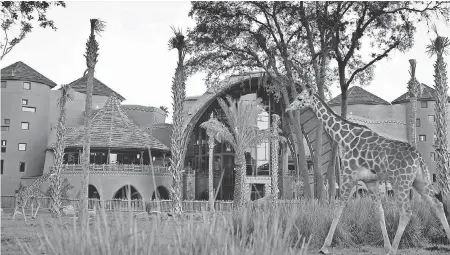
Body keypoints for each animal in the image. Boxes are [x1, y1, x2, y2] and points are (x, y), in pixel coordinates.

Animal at [286, 84, 450, 255]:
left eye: (300, 98)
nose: (287, 108)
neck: (344, 137)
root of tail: (419, 157)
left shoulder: (348, 176)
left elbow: (338, 208)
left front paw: (324, 247)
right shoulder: (371, 182)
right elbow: (380, 212)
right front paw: (386, 245)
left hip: (401, 182)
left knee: (406, 212)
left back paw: (394, 250)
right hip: (419, 180)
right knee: (437, 205)